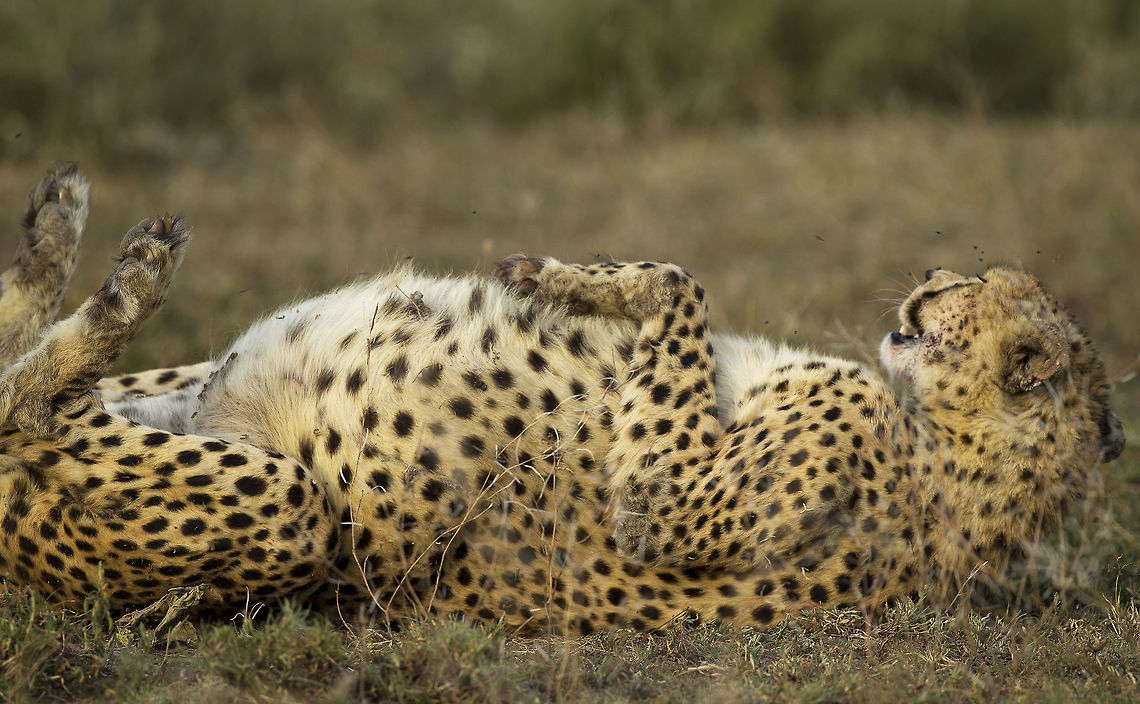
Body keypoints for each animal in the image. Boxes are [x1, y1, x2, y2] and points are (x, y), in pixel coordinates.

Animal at [0, 164, 1126, 635]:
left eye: (980, 288)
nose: (930, 280)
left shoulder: (671, 503)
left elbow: (681, 284)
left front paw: (583, 281)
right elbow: (680, 289)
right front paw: (582, 282)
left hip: (288, 509)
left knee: (24, 407)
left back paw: (125, 271)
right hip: (178, 394)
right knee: (26, 359)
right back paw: (58, 221)